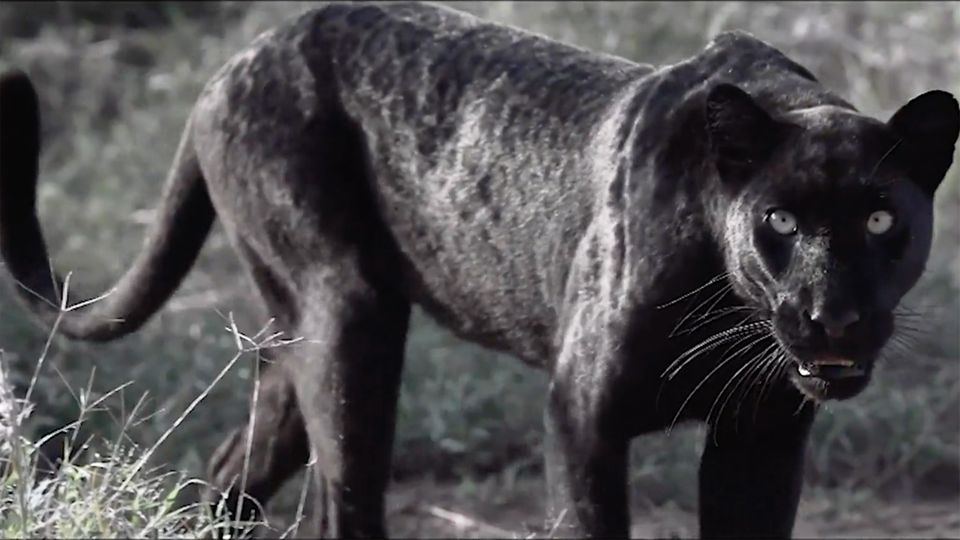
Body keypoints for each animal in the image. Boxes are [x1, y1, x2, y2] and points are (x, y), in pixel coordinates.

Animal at [1, 2, 956, 538]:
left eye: (880, 218)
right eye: (779, 222)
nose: (832, 315)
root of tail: (237, 62)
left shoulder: (761, 439)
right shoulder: (583, 416)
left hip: (293, 345)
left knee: (239, 474)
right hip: (349, 321)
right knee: (343, 501)